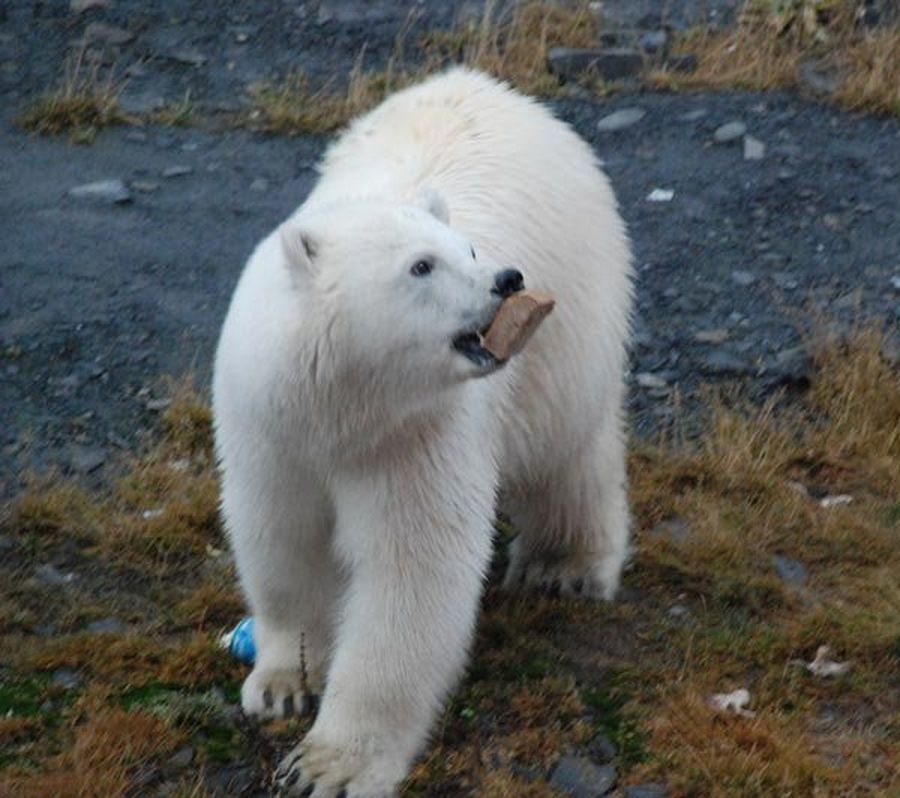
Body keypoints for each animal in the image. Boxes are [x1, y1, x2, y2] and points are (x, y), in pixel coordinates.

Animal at [212, 69, 632, 798]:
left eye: (469, 248)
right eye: (421, 266)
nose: (507, 278)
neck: (342, 411)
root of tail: (485, 83)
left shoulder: (417, 434)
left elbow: (410, 571)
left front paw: (328, 765)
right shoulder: (269, 431)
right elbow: (282, 539)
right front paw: (282, 684)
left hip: (575, 318)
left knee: (568, 450)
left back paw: (564, 565)